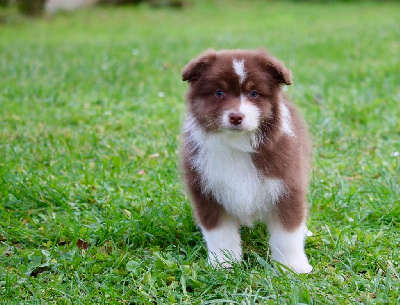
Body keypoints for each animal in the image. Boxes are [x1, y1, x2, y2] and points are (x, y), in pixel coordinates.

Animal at [180, 48, 312, 272]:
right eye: (219, 93)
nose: (236, 116)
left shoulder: (287, 185)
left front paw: (292, 267)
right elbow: (220, 234)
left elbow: (287, 235)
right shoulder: (206, 189)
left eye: (253, 94)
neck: (238, 142)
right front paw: (223, 263)